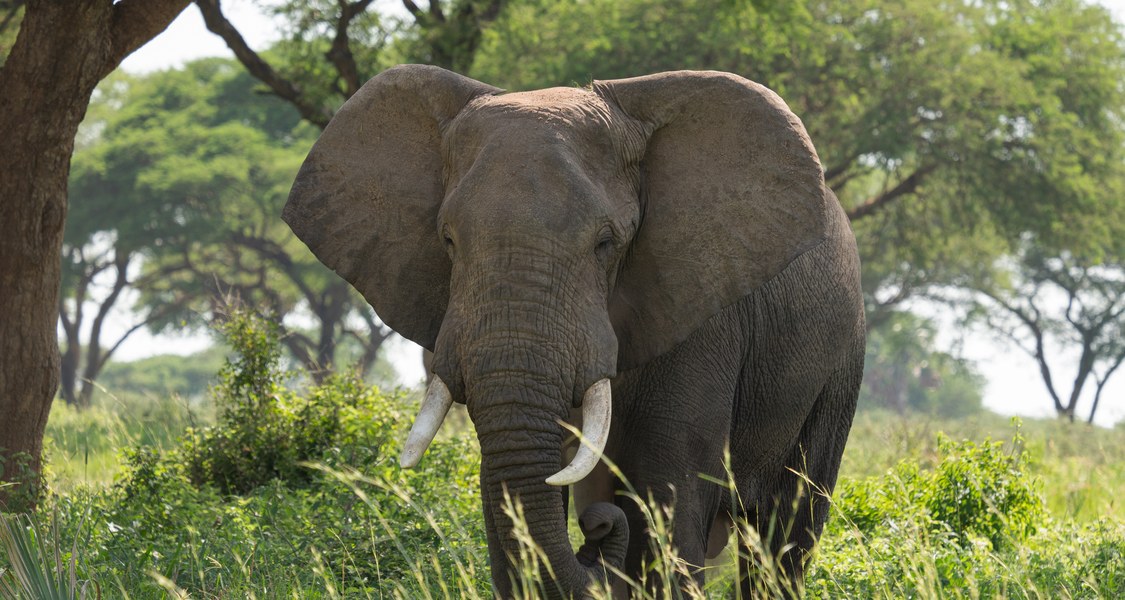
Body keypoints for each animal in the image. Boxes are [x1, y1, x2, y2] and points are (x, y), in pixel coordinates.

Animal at [283, 64, 865, 598]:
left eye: (606, 243)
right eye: (448, 240)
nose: (595, 530)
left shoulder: (702, 313)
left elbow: (669, 492)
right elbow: (510, 494)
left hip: (839, 363)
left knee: (785, 532)